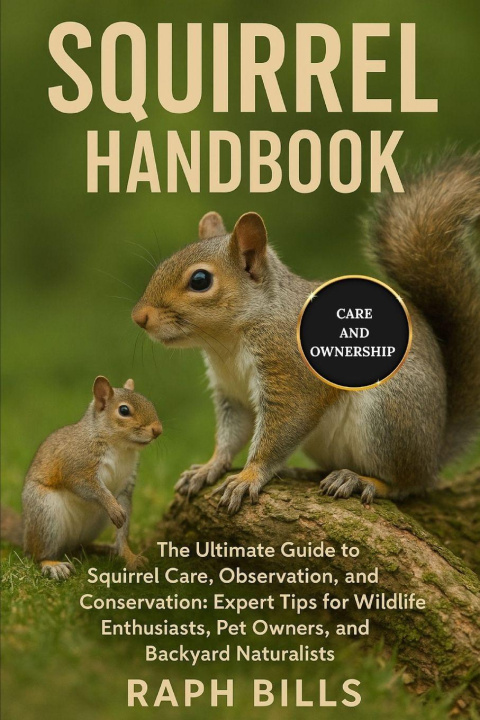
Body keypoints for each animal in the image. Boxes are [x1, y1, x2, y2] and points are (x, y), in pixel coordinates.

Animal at [1, 376, 162, 580]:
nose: (158, 430)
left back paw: (105, 549)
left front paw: (130, 556)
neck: (120, 448)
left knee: (79, 546)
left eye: (149, 402)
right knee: (37, 555)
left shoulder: (126, 487)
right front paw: (111, 506)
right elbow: (87, 486)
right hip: (45, 515)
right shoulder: (76, 466)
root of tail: (25, 538)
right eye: (124, 410)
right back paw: (52, 564)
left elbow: (123, 529)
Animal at [131, 154, 480, 515]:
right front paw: (208, 467)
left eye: (200, 280)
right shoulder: (232, 395)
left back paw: (360, 480)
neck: (228, 342)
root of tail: (434, 453)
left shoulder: (290, 374)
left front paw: (247, 477)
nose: (139, 317)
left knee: (404, 484)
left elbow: (280, 430)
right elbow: (231, 435)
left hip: (388, 418)